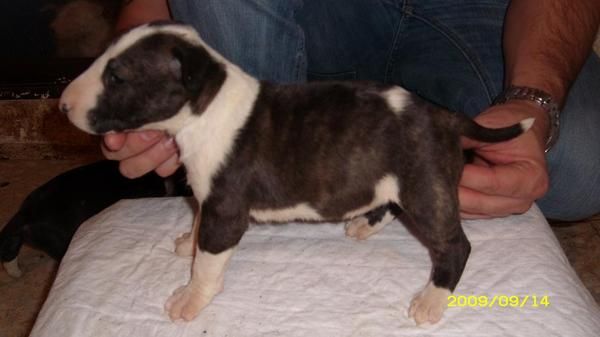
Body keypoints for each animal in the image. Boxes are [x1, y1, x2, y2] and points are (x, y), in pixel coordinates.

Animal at [58, 22, 532, 324]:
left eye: (117, 77)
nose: (62, 105)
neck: (204, 108)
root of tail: (445, 116)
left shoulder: (226, 212)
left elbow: (208, 263)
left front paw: (189, 299)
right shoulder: (208, 197)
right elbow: (196, 223)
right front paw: (186, 242)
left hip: (424, 188)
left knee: (455, 246)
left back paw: (431, 301)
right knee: (388, 204)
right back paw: (364, 224)